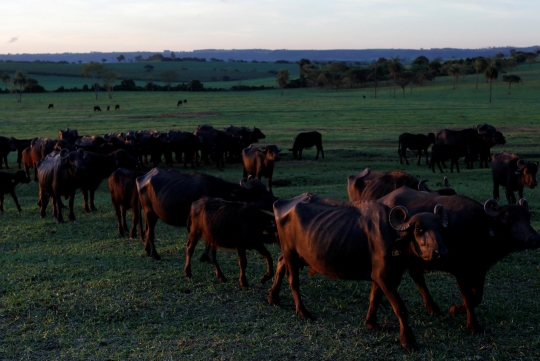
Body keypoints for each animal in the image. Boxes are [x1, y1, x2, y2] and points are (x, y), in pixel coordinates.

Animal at [135, 167, 278, 260]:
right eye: (258, 192)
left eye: (265, 188)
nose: (275, 200)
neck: (215, 190)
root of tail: (142, 178)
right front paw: (205, 256)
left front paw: (205, 256)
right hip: (149, 212)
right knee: (150, 232)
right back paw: (155, 255)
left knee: (147, 230)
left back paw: (147, 251)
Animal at [268, 194, 450, 348]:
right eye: (418, 229)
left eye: (440, 229)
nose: (440, 253)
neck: (393, 237)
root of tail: (280, 203)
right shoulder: (384, 276)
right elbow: (399, 306)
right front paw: (407, 339)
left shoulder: (380, 277)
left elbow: (374, 298)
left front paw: (371, 322)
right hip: (291, 252)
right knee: (293, 280)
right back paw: (302, 311)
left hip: (295, 255)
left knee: (280, 262)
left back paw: (273, 297)